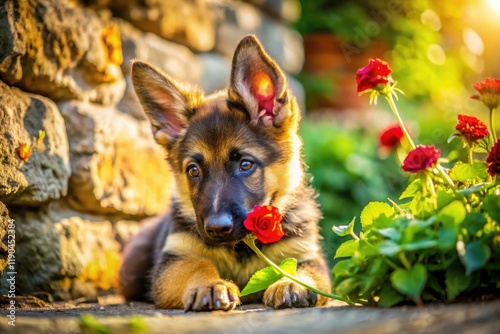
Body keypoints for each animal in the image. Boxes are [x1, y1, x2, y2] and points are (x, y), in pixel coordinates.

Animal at [120, 34, 332, 310]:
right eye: (193, 170)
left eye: (245, 164)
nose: (217, 228)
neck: (240, 249)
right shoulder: (174, 260)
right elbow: (198, 265)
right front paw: (209, 285)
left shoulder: (307, 255)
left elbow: (299, 269)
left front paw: (291, 283)